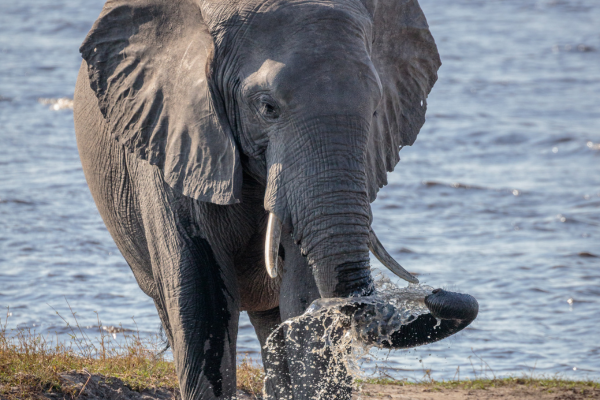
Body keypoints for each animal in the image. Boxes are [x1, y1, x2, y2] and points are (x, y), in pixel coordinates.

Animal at [74, 0, 478, 398]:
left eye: (377, 109)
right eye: (268, 108)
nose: (437, 293)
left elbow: (303, 294)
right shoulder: (173, 136)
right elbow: (202, 296)